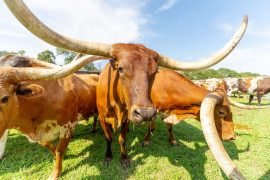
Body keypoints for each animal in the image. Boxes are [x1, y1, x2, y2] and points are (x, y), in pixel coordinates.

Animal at [4, 1, 248, 179]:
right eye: (120, 68)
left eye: (155, 71)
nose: (146, 113)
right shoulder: (104, 117)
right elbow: (109, 137)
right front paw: (108, 157)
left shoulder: (134, 116)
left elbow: (125, 138)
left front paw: (125, 159)